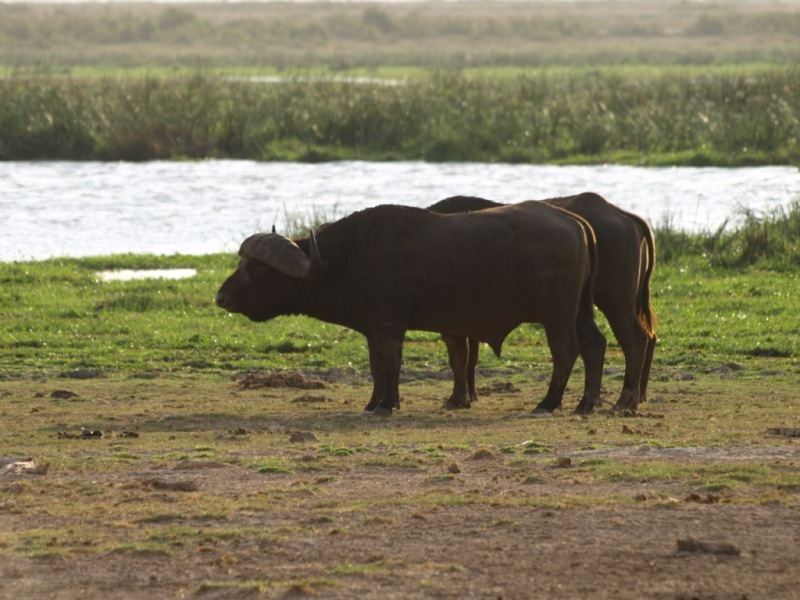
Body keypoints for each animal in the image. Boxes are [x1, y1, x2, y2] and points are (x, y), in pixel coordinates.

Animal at [216, 204, 604, 414]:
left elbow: (391, 364)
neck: (345, 257)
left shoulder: (389, 325)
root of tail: (575, 222)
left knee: (565, 351)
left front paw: (389, 403)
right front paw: (373, 403)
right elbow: (376, 367)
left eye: (254, 270)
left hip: (557, 313)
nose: (221, 298)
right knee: (594, 345)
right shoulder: (372, 329)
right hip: (581, 311)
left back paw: (548, 403)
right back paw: (587, 403)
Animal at [428, 192, 660, 412]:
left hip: (615, 299)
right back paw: (629, 397)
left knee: (635, 339)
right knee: (643, 337)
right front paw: (470, 396)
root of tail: (621, 215)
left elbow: (459, 358)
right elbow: (470, 357)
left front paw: (458, 398)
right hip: (620, 302)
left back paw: (624, 401)